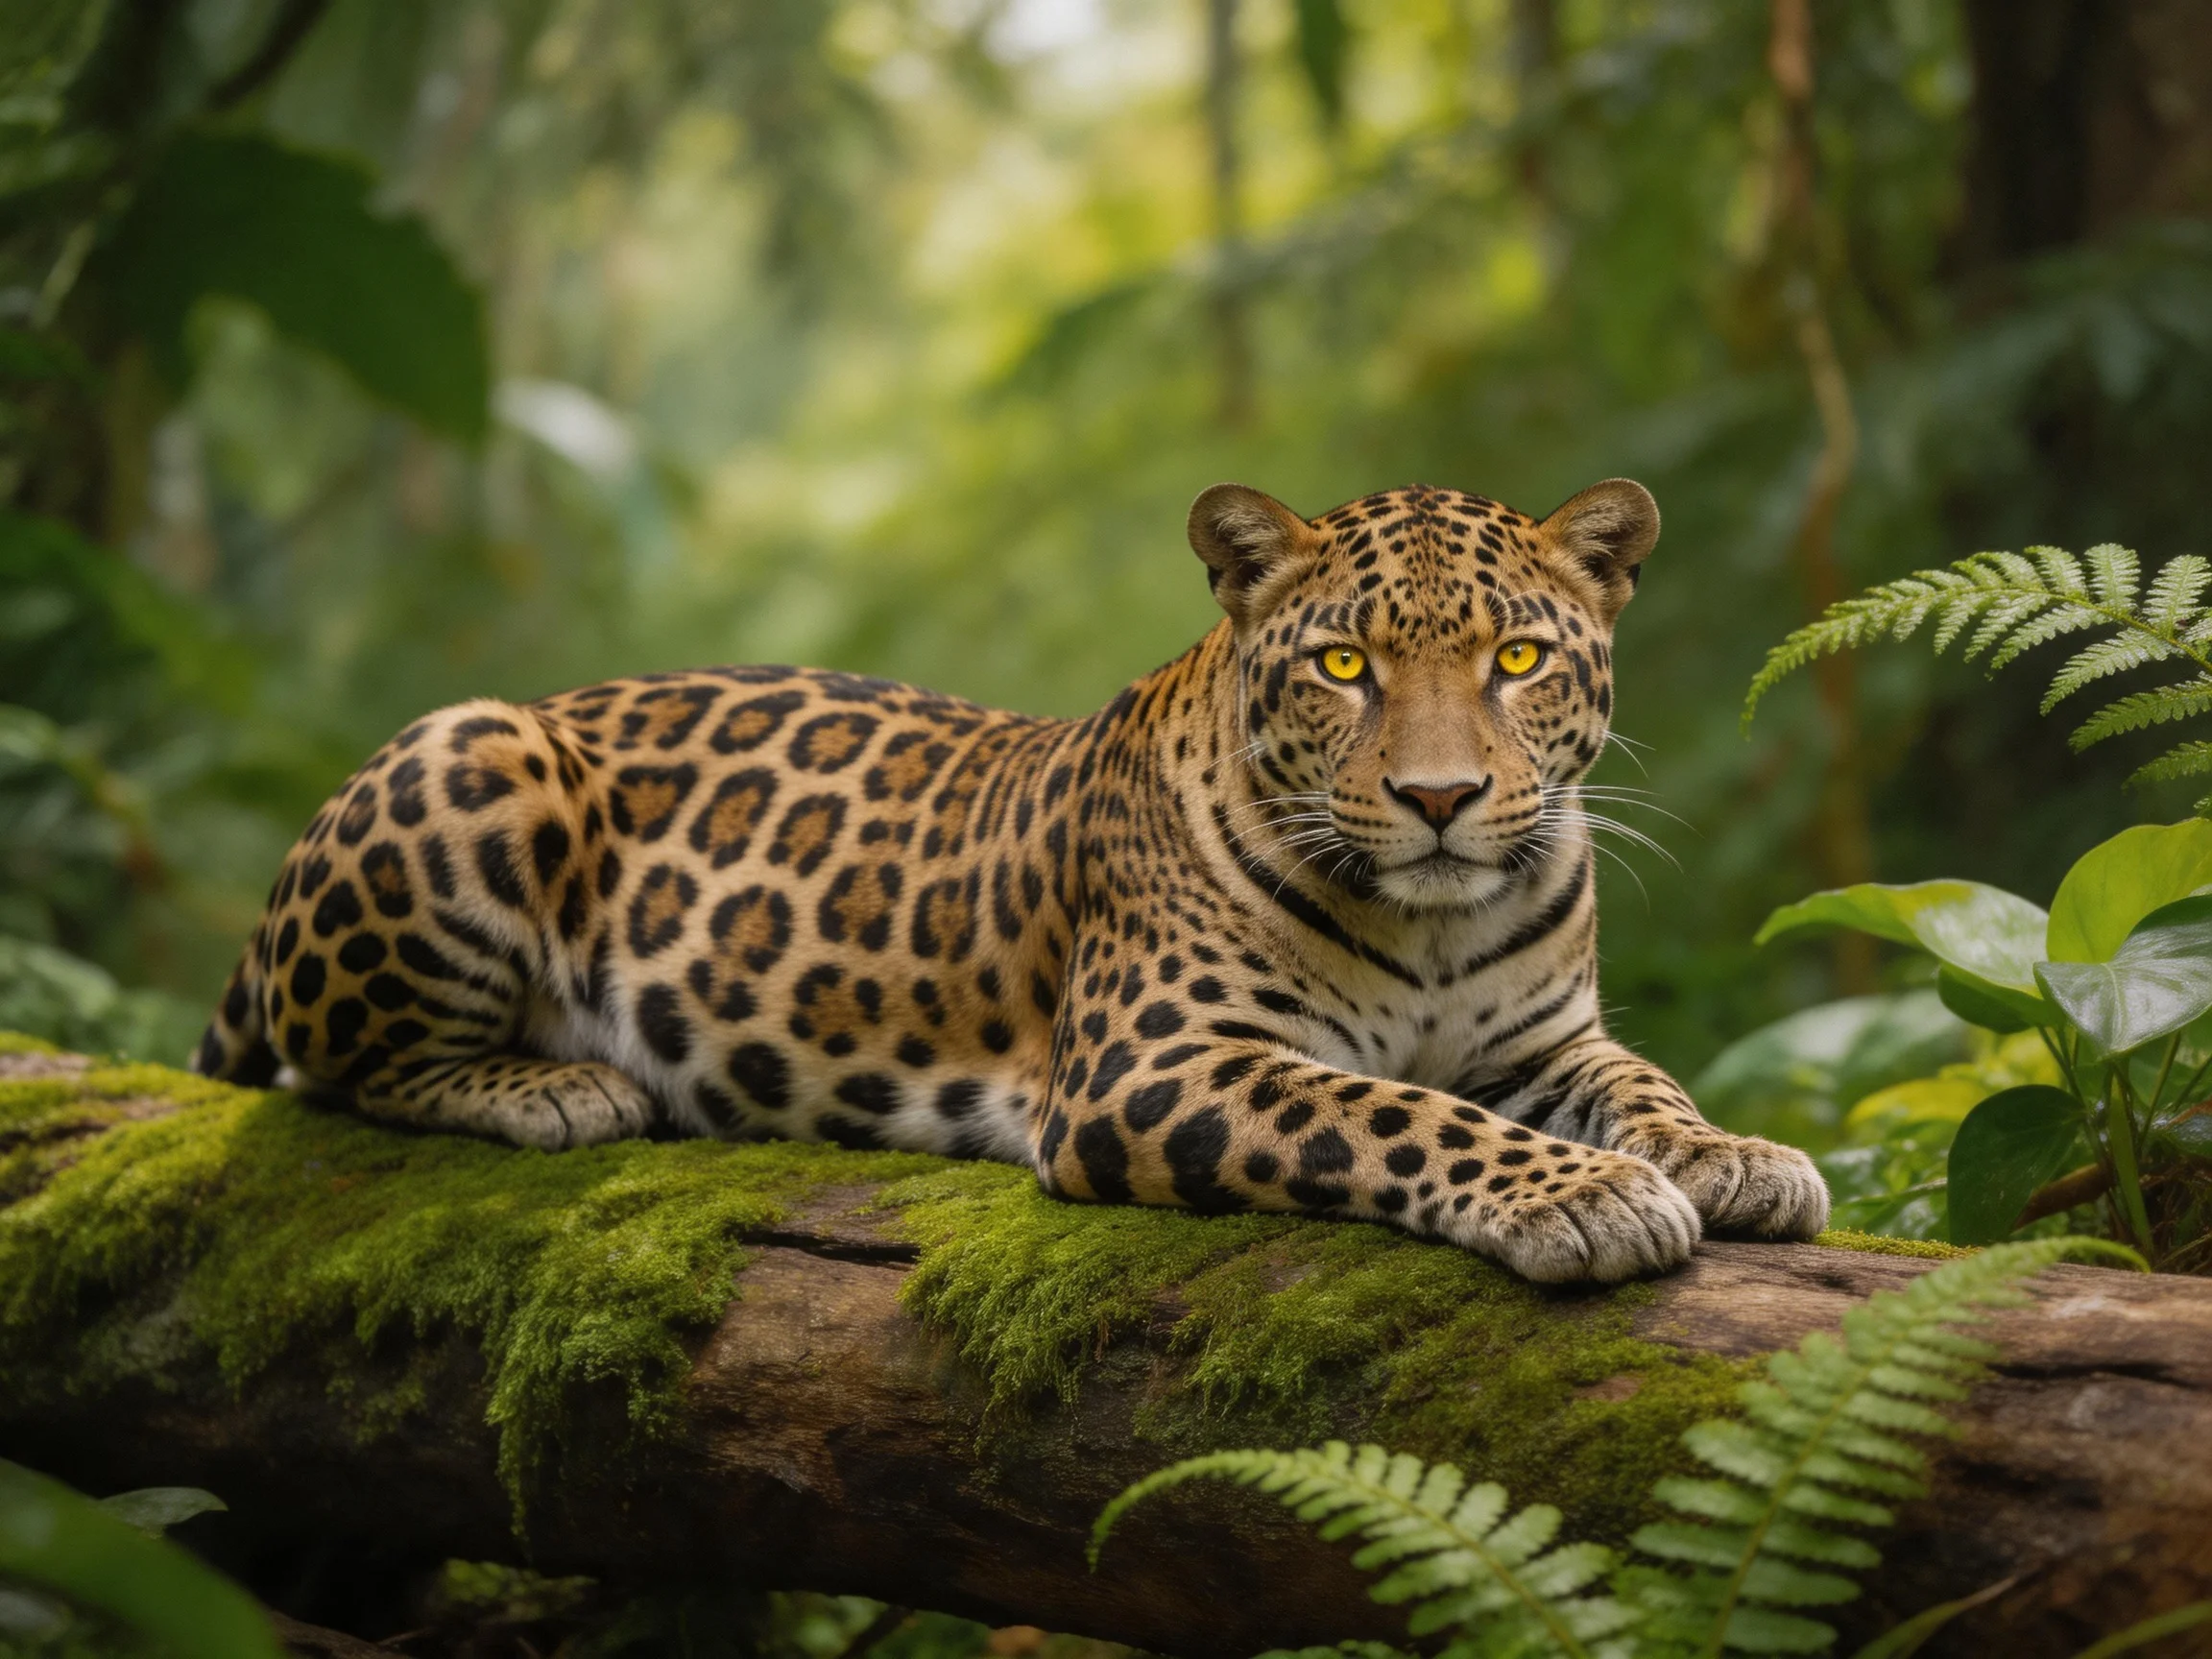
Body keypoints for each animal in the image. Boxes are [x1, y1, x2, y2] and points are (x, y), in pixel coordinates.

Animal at [193, 477, 1829, 1283]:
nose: (1441, 801)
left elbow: (1645, 1083)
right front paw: (1584, 1197)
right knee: (337, 1063)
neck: (1432, 926)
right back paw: (558, 1088)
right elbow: (1396, 1113)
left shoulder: (1545, 1044)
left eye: (1520, 659)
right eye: (1345, 668)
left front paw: (1733, 1156)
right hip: (475, 752)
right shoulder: (1155, 1065)